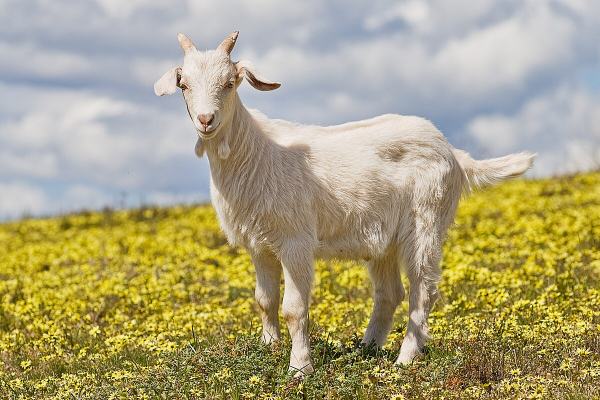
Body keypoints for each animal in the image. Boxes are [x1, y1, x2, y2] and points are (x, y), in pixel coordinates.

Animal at [154, 32, 536, 376]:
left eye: (230, 82)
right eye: (184, 84)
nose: (206, 120)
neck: (257, 152)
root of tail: (454, 153)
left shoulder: (295, 241)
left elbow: (294, 308)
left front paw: (299, 368)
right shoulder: (259, 245)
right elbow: (264, 301)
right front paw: (269, 349)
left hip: (426, 221)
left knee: (423, 290)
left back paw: (405, 359)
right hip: (384, 240)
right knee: (389, 293)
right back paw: (367, 349)